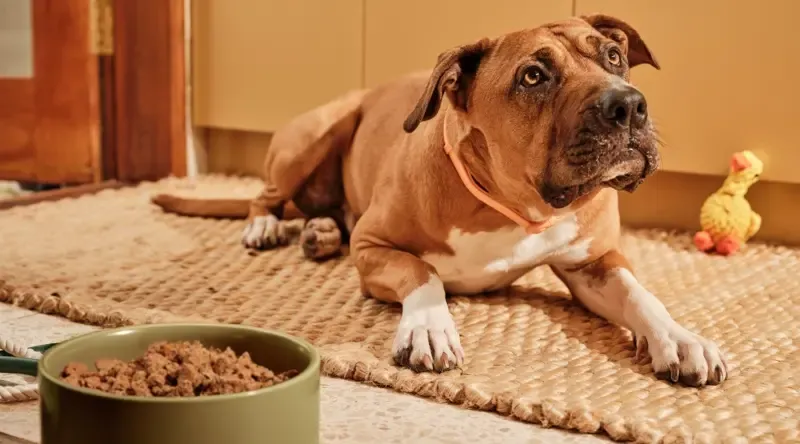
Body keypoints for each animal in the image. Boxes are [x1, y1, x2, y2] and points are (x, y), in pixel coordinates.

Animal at [153, 15, 728, 386]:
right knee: (267, 196)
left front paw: (679, 337)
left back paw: (319, 233)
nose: (627, 104)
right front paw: (429, 328)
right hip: (313, 135)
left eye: (614, 56)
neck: (508, 204)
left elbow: (640, 294)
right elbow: (422, 271)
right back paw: (267, 226)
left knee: (322, 213)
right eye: (533, 76)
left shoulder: (595, 262)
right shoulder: (373, 247)